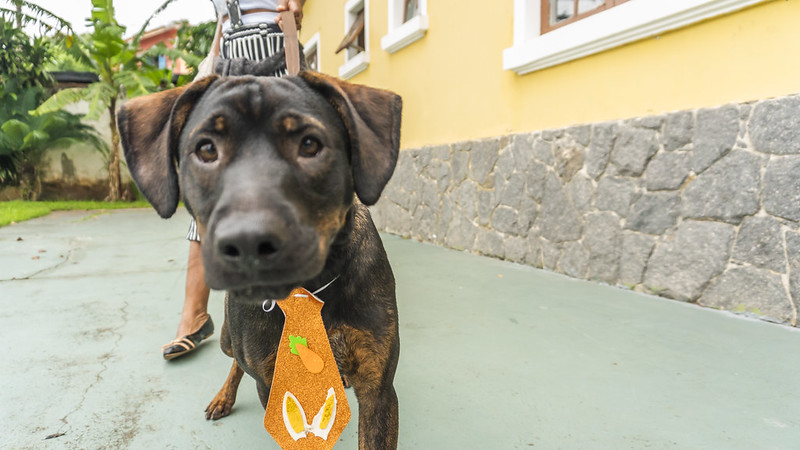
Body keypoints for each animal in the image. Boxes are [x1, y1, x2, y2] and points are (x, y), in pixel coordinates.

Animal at [115, 72, 404, 448]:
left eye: (309, 144)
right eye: (206, 149)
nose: (248, 242)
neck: (308, 292)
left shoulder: (378, 387)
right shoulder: (274, 385)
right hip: (228, 339)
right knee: (235, 362)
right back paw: (223, 396)